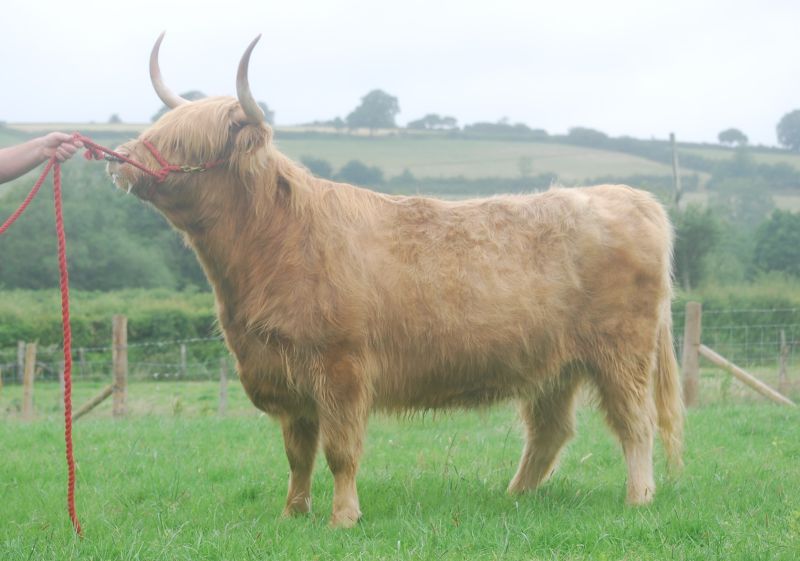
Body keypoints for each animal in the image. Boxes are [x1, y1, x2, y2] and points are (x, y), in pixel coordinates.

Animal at [106, 34, 684, 524]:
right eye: (159, 131)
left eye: (188, 142)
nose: (122, 159)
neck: (270, 246)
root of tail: (633, 198)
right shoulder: (284, 373)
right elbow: (298, 453)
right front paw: (293, 513)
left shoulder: (341, 367)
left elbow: (340, 451)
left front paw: (343, 517)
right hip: (553, 364)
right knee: (550, 431)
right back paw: (514, 497)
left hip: (623, 351)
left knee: (635, 423)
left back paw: (638, 498)